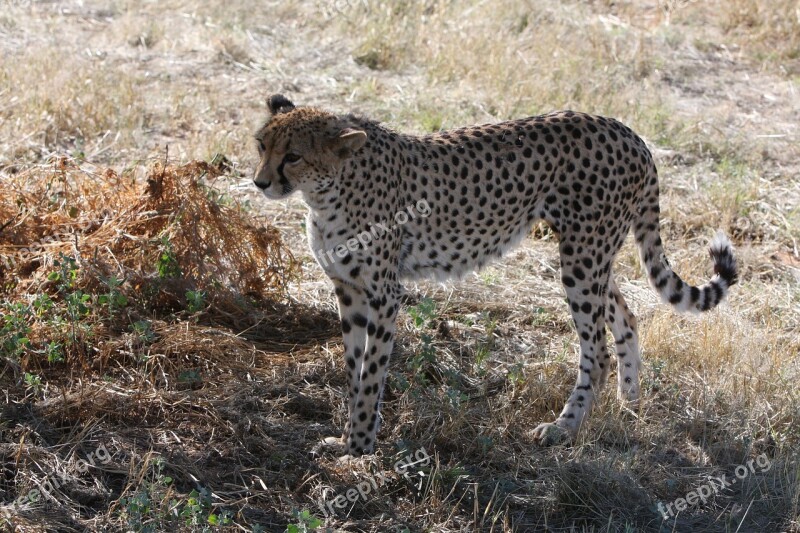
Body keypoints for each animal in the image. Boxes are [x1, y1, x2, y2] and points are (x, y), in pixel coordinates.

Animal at [252, 93, 736, 456]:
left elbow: (371, 372)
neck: (329, 190)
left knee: (596, 349)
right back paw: (629, 406)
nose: (259, 183)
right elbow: (353, 369)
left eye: (293, 156)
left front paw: (360, 449)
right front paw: (347, 437)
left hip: (582, 257)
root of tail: (629, 132)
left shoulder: (384, 293)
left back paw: (564, 428)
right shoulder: (348, 289)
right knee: (627, 318)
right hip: (592, 255)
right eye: (261, 145)